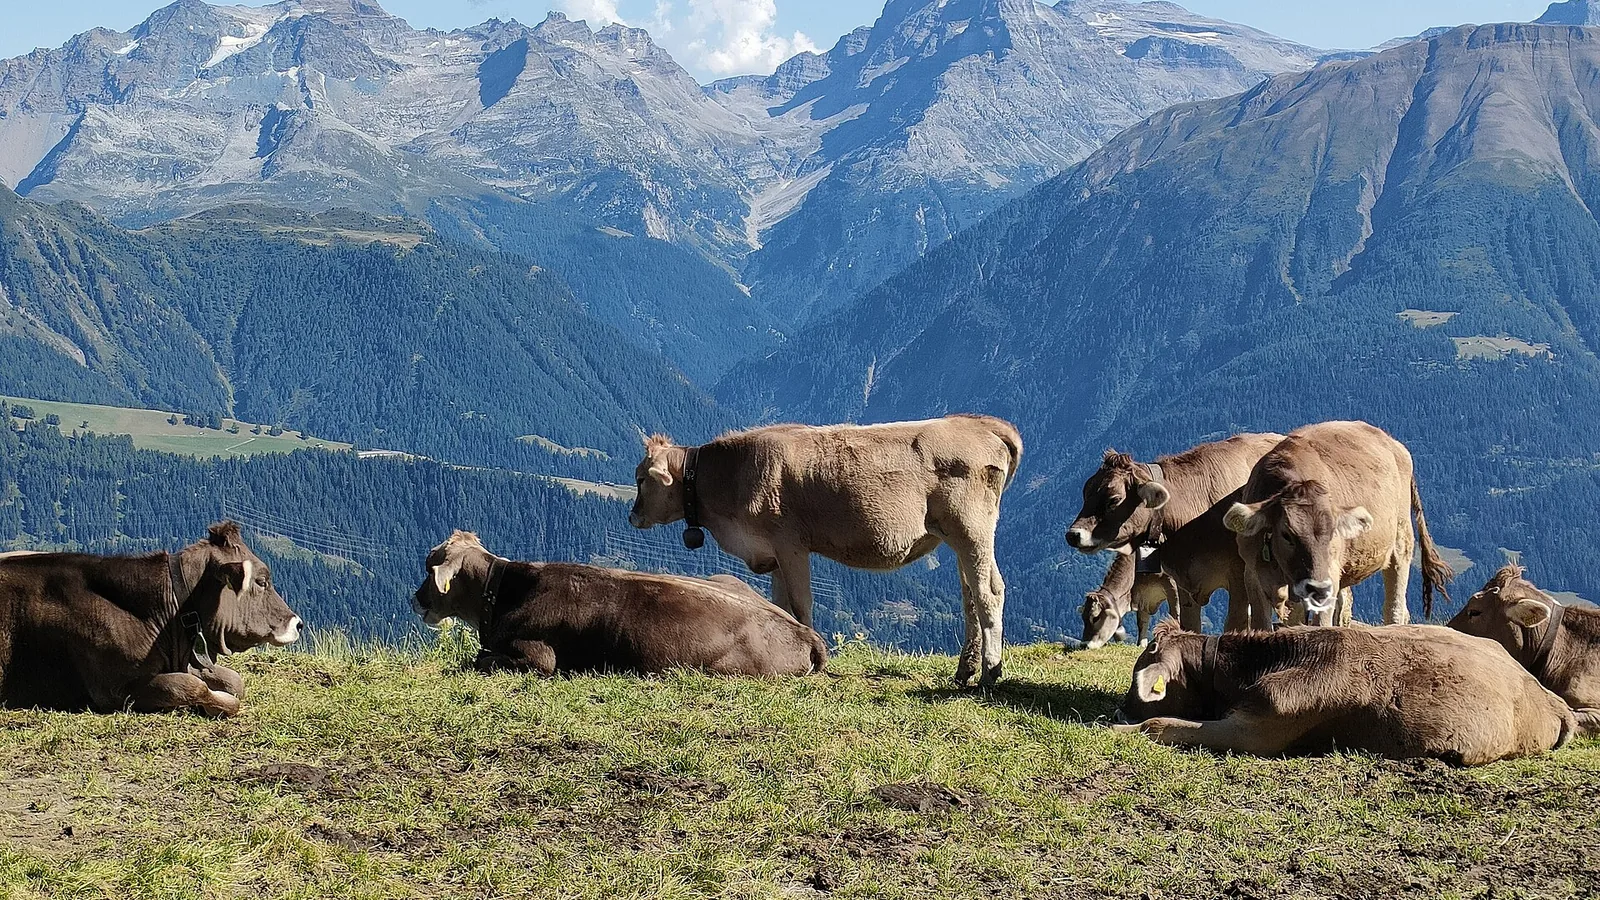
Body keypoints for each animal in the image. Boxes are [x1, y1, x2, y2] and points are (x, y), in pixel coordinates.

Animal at [629, 415, 1021, 686]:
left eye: (641, 478)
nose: (632, 516)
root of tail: (975, 421)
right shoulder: (772, 555)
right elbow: (780, 606)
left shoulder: (790, 544)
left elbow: (801, 604)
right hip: (960, 537)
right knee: (973, 595)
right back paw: (965, 670)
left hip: (971, 529)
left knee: (988, 594)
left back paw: (989, 672)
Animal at [1066, 432, 1284, 630]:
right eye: (1085, 494)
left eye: (1114, 499)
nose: (1073, 535)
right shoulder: (1184, 583)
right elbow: (1189, 627)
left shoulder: (1239, 578)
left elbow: (1234, 626)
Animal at [1112, 621, 1585, 765]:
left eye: (1139, 681)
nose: (1124, 708)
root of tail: (1550, 699)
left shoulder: (1259, 729)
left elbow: (1161, 723)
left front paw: (1123, 727)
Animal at [1223, 421, 1453, 628]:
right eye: (1286, 534)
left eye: (1334, 532)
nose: (1317, 587)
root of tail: (1395, 444)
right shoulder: (1252, 576)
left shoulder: (1330, 576)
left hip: (1401, 539)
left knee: (1395, 607)